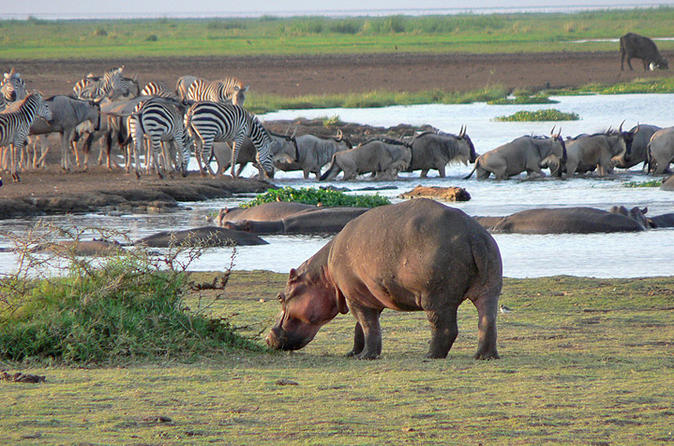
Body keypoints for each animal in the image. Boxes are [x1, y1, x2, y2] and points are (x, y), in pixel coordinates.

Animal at [266, 198, 503, 360]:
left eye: (280, 297)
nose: (268, 338)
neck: (323, 274)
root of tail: (473, 234)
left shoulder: (355, 298)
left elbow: (369, 327)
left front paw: (365, 357)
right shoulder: (362, 296)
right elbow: (360, 328)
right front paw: (353, 353)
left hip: (436, 297)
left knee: (445, 327)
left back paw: (430, 355)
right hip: (489, 288)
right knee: (487, 320)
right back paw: (484, 356)